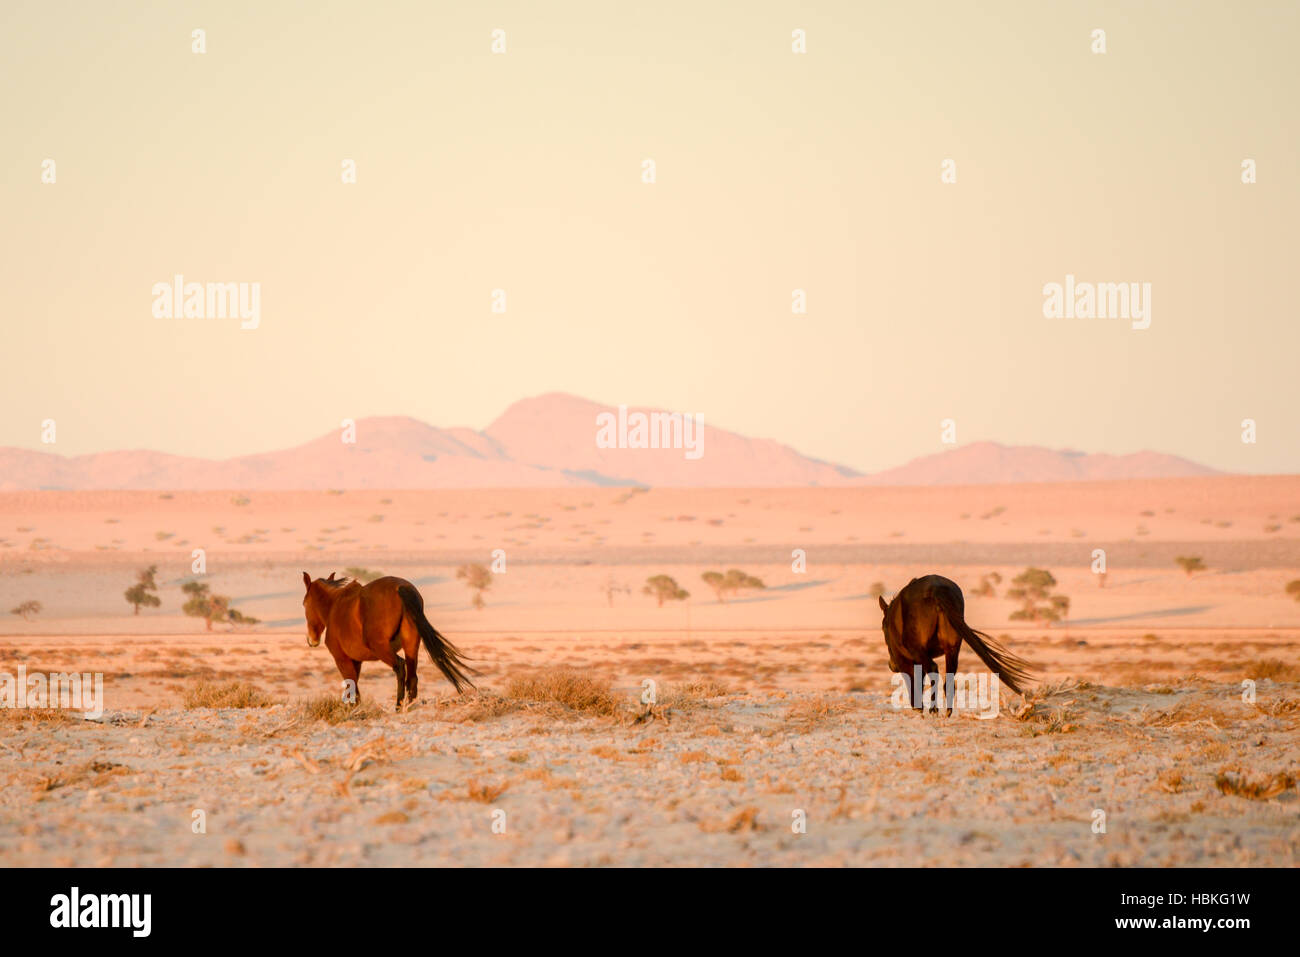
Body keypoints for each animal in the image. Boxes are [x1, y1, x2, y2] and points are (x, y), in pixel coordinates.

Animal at [302, 572, 478, 707]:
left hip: (381, 648)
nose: (312, 640)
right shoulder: (356, 661)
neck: (335, 606)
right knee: (412, 676)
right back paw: (409, 706)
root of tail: (401, 588)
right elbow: (354, 685)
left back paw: (398, 706)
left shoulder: (342, 659)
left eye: (304, 603)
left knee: (399, 666)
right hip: (411, 646)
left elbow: (351, 686)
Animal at [878, 574, 1029, 712]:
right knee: (949, 675)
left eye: (883, 627)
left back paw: (934, 709)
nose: (892, 665)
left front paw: (918, 707)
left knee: (933, 669)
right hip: (952, 648)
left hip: (919, 649)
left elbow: (912, 679)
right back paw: (947, 711)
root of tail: (936, 589)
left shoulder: (904, 659)